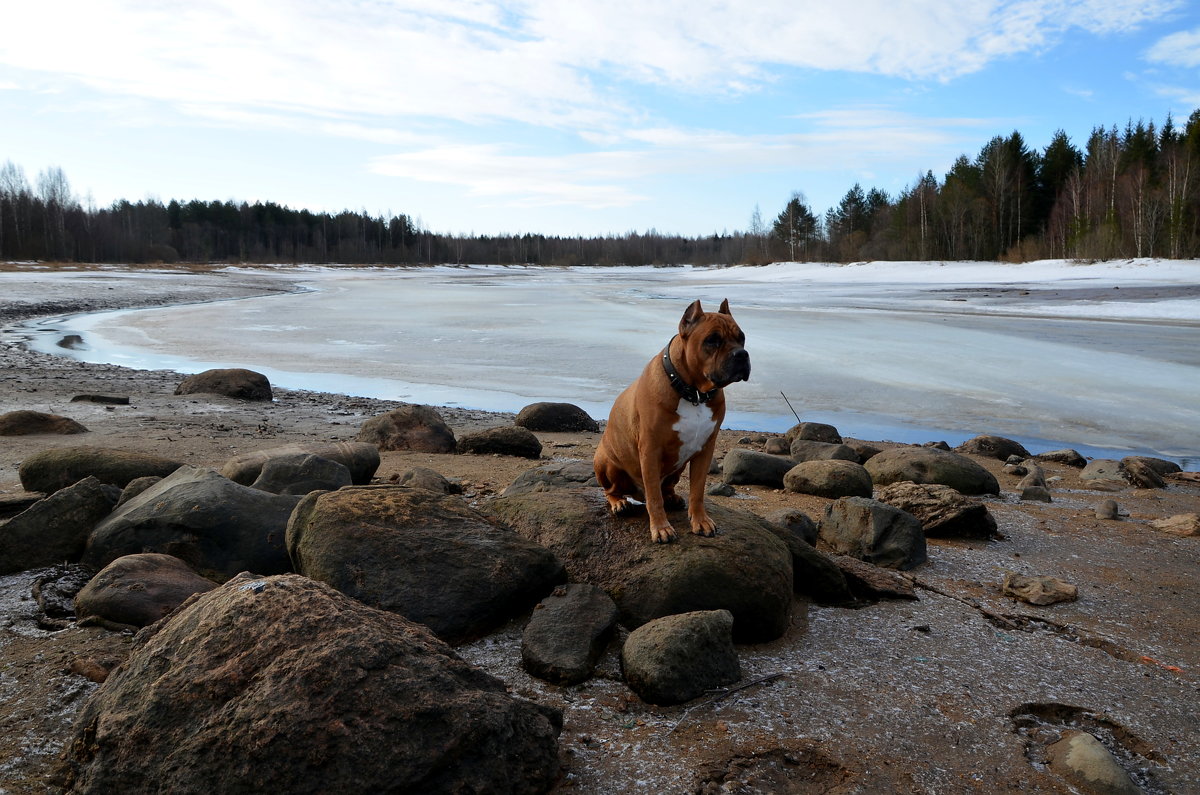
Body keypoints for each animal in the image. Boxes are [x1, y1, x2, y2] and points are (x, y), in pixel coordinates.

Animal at [592, 299, 748, 542]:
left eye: (742, 338)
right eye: (712, 340)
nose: (741, 354)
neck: (694, 393)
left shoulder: (705, 450)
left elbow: (697, 491)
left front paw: (700, 520)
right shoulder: (650, 451)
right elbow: (654, 497)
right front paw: (660, 527)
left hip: (677, 468)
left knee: (666, 488)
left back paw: (672, 498)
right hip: (605, 463)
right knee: (612, 490)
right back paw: (619, 502)